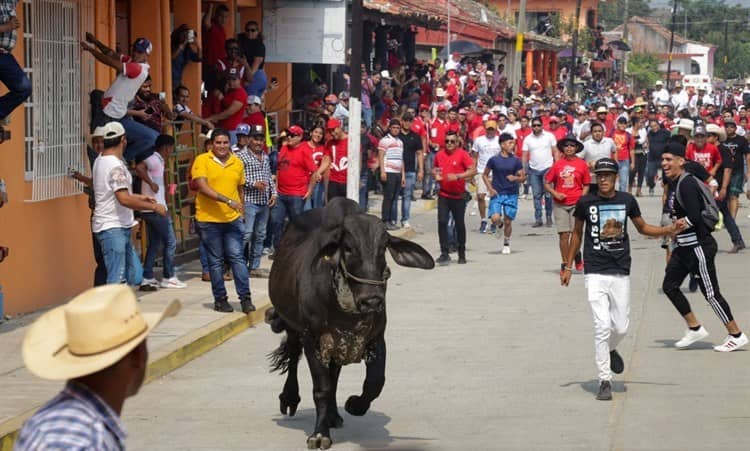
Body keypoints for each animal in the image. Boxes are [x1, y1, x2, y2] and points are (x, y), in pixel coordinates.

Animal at [268, 198, 434, 448]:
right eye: (347, 247)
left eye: (383, 247)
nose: (372, 299)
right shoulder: (312, 340)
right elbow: (322, 388)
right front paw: (319, 434)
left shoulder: (376, 339)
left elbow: (374, 382)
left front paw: (354, 405)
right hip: (293, 326)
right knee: (294, 356)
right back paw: (290, 398)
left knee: (334, 375)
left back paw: (333, 415)